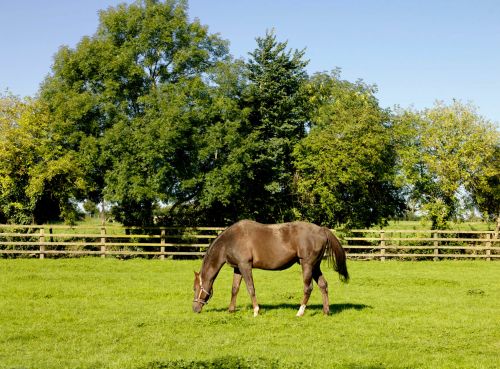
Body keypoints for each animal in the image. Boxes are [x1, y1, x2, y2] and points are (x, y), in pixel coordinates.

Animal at [193, 218, 350, 316]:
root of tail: (322, 230)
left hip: (307, 265)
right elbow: (234, 289)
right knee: (323, 285)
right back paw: (326, 311)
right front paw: (231, 310)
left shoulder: (245, 266)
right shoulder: (237, 268)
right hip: (315, 266)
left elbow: (250, 288)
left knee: (308, 288)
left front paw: (256, 311)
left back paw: (300, 312)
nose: (195, 308)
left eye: (195, 288)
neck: (230, 240)